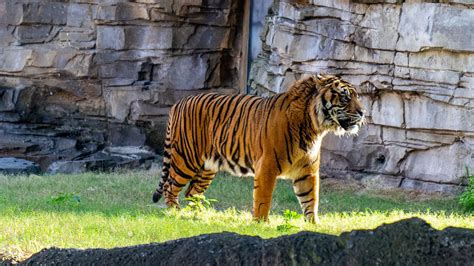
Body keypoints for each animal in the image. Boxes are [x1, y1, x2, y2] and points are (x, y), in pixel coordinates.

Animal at [153, 73, 366, 222]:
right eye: (345, 98)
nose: (363, 112)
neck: (314, 127)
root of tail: (178, 103)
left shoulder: (308, 171)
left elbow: (310, 199)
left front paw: (314, 225)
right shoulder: (267, 166)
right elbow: (263, 198)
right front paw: (261, 224)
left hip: (207, 167)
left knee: (192, 192)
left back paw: (200, 215)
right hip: (186, 159)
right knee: (170, 186)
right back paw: (175, 213)